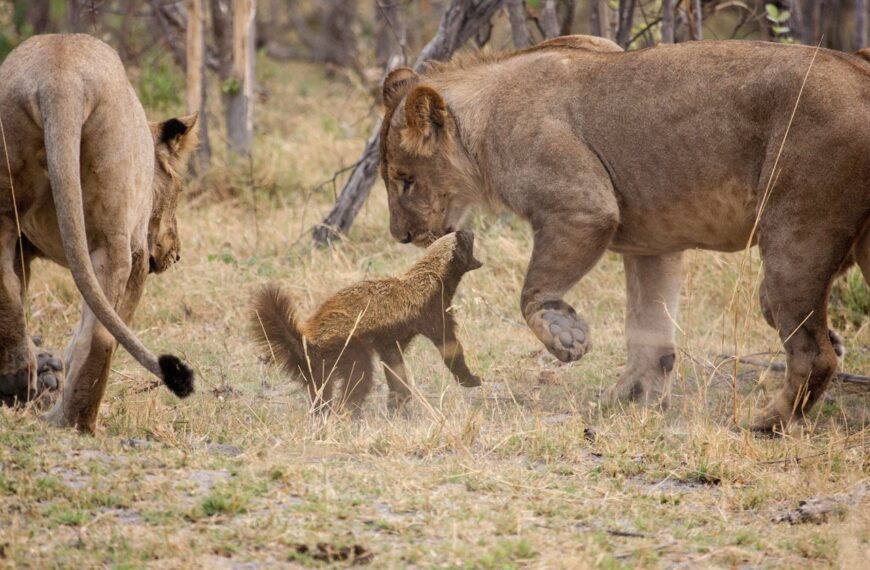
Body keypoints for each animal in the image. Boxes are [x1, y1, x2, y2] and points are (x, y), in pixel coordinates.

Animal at [0, 33, 198, 428]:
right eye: (179, 190)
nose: (177, 253)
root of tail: (60, 77)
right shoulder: (139, 250)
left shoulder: (23, 248)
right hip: (115, 235)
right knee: (102, 334)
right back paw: (74, 421)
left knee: (6, 289)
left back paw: (19, 382)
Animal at [252, 231, 484, 412]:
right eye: (465, 238)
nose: (470, 230)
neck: (432, 275)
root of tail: (307, 341)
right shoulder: (432, 311)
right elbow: (449, 347)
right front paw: (471, 380)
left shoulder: (391, 339)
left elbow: (394, 365)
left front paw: (398, 401)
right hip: (349, 349)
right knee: (358, 379)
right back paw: (348, 413)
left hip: (321, 367)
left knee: (320, 391)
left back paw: (323, 414)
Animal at [382, 35, 870, 428]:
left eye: (404, 180)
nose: (400, 236)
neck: (481, 127)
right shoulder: (653, 241)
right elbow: (648, 331)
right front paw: (628, 402)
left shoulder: (583, 207)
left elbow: (532, 292)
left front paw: (566, 338)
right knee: (799, 329)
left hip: (796, 234)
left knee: (813, 352)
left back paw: (767, 422)